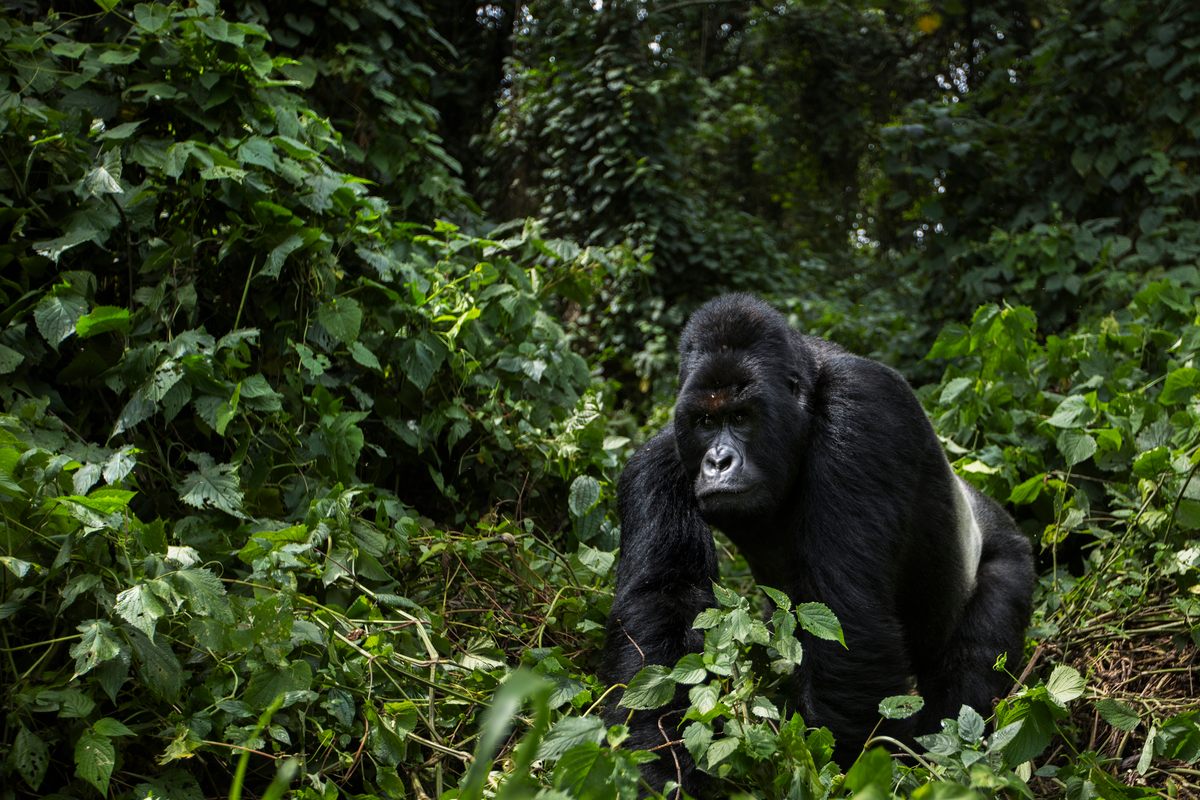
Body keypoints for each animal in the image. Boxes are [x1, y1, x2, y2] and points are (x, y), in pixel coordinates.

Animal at [604, 293, 1036, 796]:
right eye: (705, 421)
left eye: (741, 417)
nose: (718, 461)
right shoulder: (663, 454)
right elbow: (663, 603)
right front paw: (656, 764)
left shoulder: (864, 413)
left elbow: (848, 619)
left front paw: (841, 773)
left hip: (1009, 553)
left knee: (971, 669)